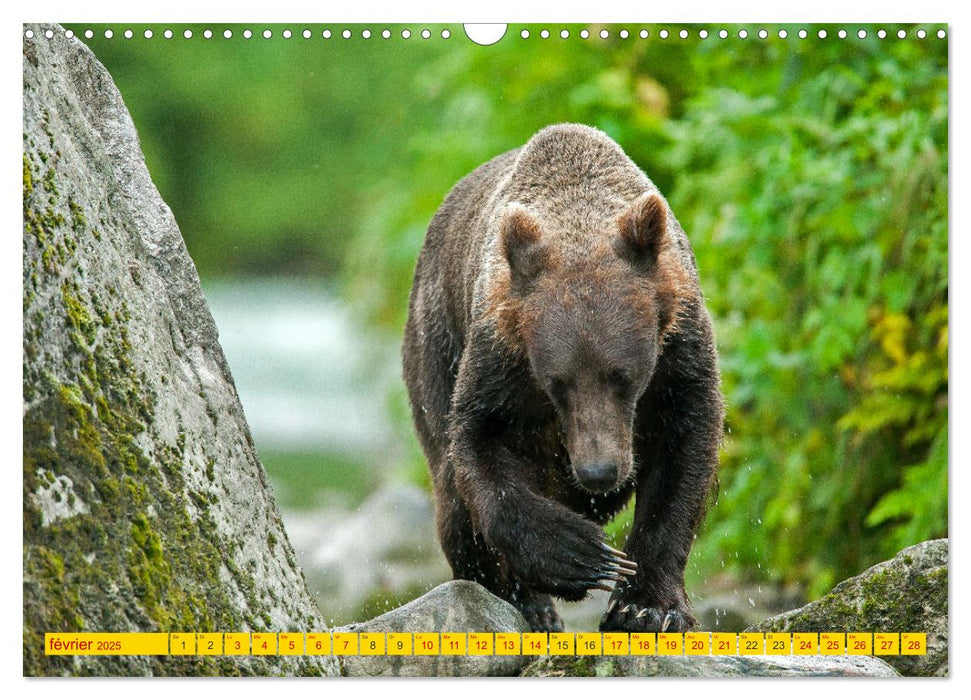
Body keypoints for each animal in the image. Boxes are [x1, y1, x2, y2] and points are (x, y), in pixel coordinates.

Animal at [402, 124, 720, 636]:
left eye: (624, 376)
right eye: (557, 382)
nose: (598, 471)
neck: (578, 212)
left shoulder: (679, 349)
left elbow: (682, 450)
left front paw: (647, 606)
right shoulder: (500, 354)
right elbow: (479, 444)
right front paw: (581, 556)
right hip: (433, 343)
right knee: (452, 498)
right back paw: (525, 602)